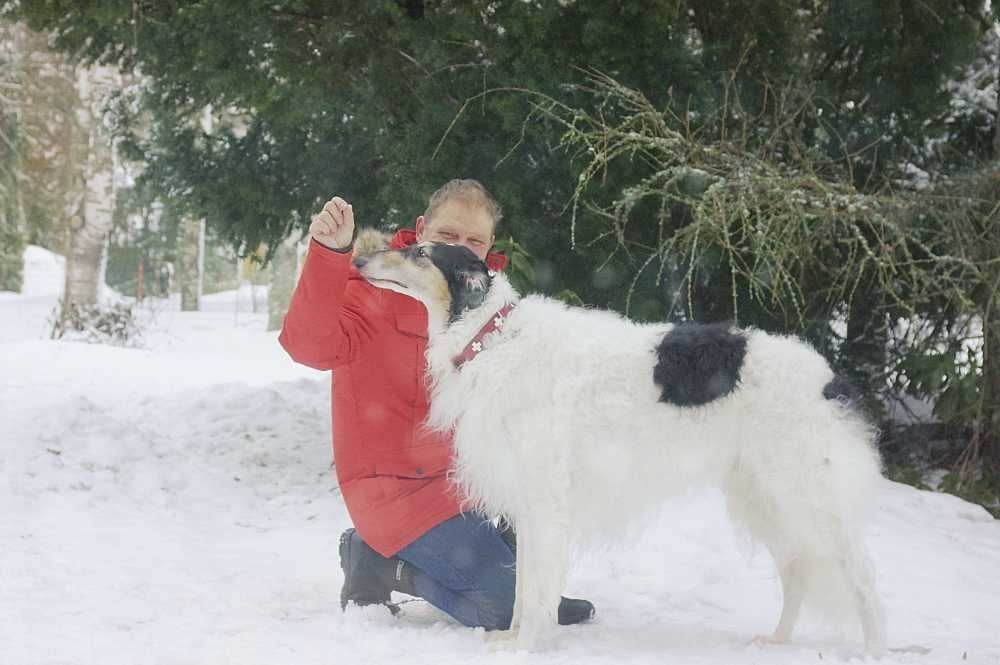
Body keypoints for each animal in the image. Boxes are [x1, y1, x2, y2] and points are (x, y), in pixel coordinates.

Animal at [356, 239, 888, 652]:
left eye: (420, 252)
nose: (358, 260)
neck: (494, 336)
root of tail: (831, 379)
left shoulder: (546, 500)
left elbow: (534, 590)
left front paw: (525, 646)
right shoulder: (527, 503)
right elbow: (522, 585)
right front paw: (510, 639)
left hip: (808, 497)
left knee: (863, 580)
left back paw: (875, 651)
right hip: (766, 499)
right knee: (797, 574)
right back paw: (776, 642)